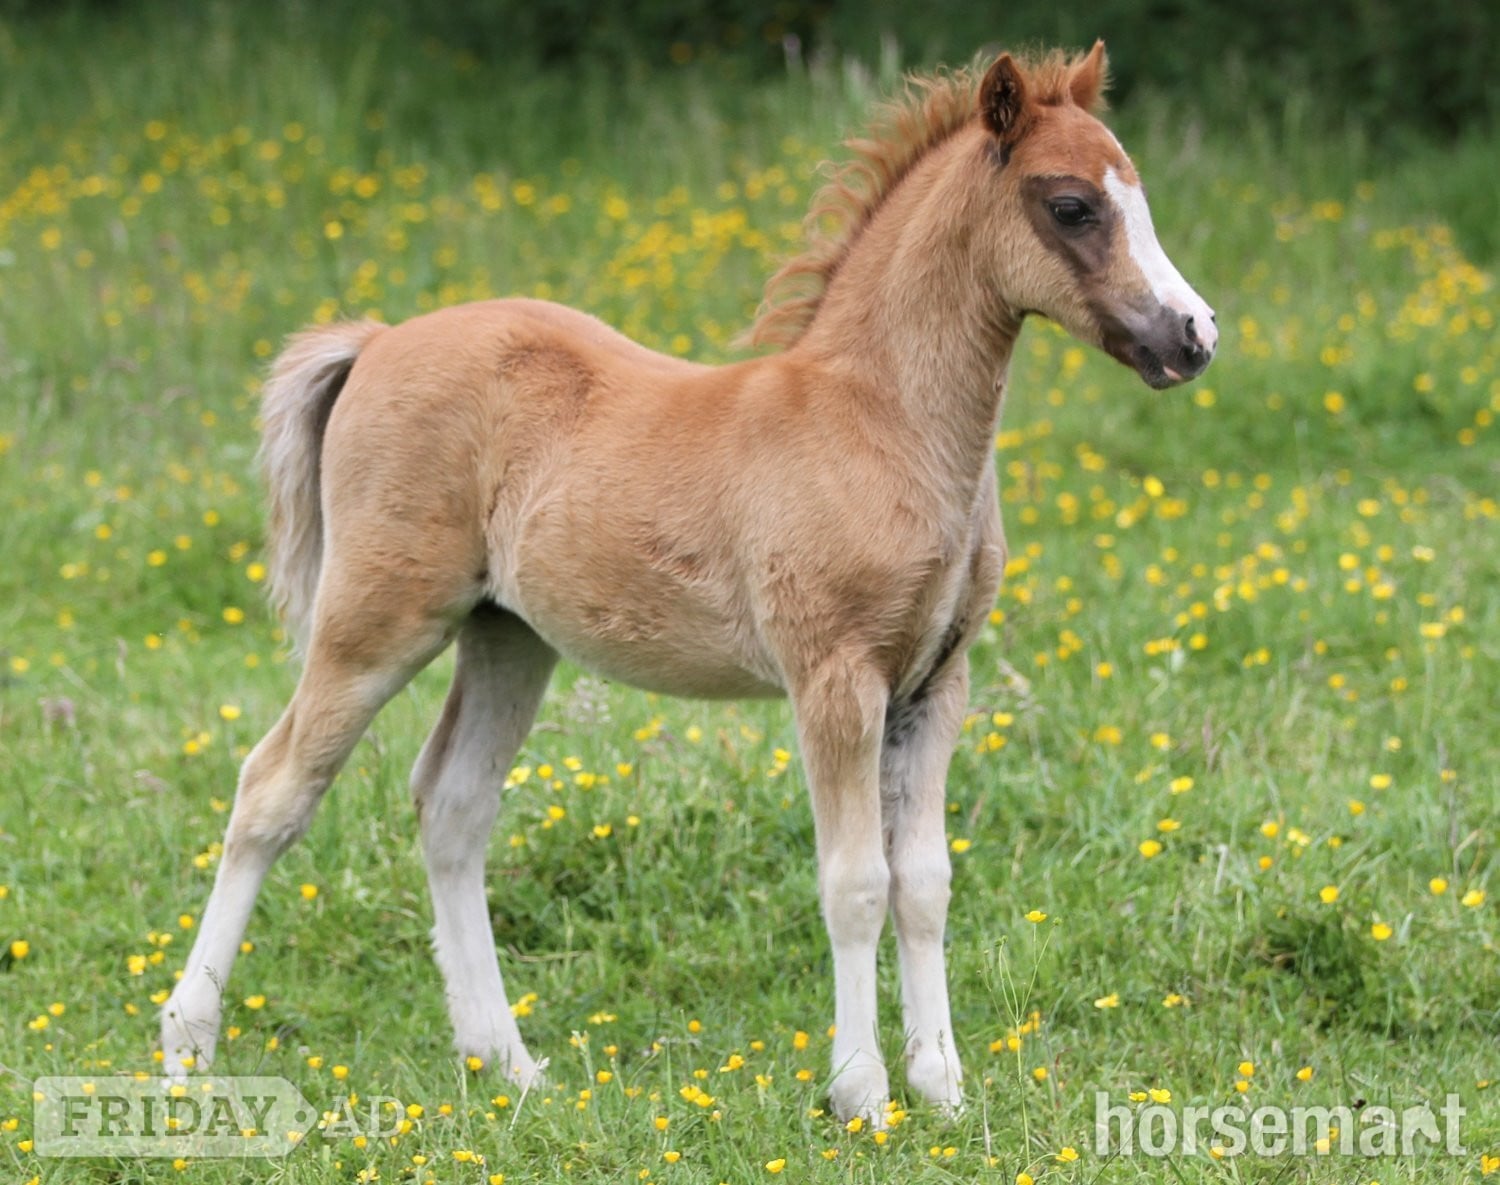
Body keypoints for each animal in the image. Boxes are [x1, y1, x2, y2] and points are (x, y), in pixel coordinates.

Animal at [161, 41, 1216, 1125]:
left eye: (1135, 193)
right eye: (1071, 205)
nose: (1193, 335)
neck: (880, 422)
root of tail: (374, 341)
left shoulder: (936, 683)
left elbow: (924, 881)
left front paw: (946, 1090)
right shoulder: (835, 678)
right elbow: (856, 883)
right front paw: (863, 1094)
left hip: (507, 634)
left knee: (452, 807)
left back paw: (510, 1063)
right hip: (378, 618)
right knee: (273, 789)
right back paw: (189, 1049)